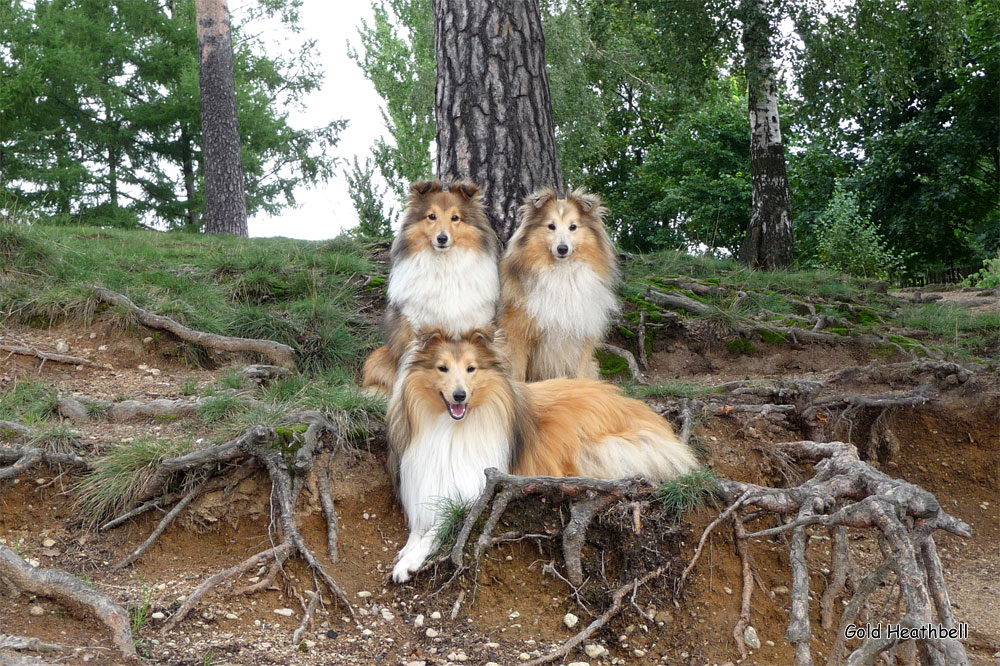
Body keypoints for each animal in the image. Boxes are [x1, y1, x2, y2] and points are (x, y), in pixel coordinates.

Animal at [386, 328, 700, 580]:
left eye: (471, 368)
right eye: (442, 368)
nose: (459, 395)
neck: (452, 428)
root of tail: (645, 414)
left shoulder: (474, 487)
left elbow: (439, 526)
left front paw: (410, 562)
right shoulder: (427, 481)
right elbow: (420, 524)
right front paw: (408, 549)